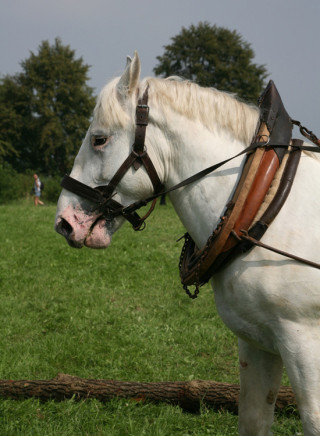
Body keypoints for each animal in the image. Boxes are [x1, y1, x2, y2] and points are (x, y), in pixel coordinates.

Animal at [54, 51, 320, 432]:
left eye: (99, 139)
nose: (64, 222)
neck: (264, 204)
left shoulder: (305, 342)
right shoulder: (258, 343)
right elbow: (253, 420)